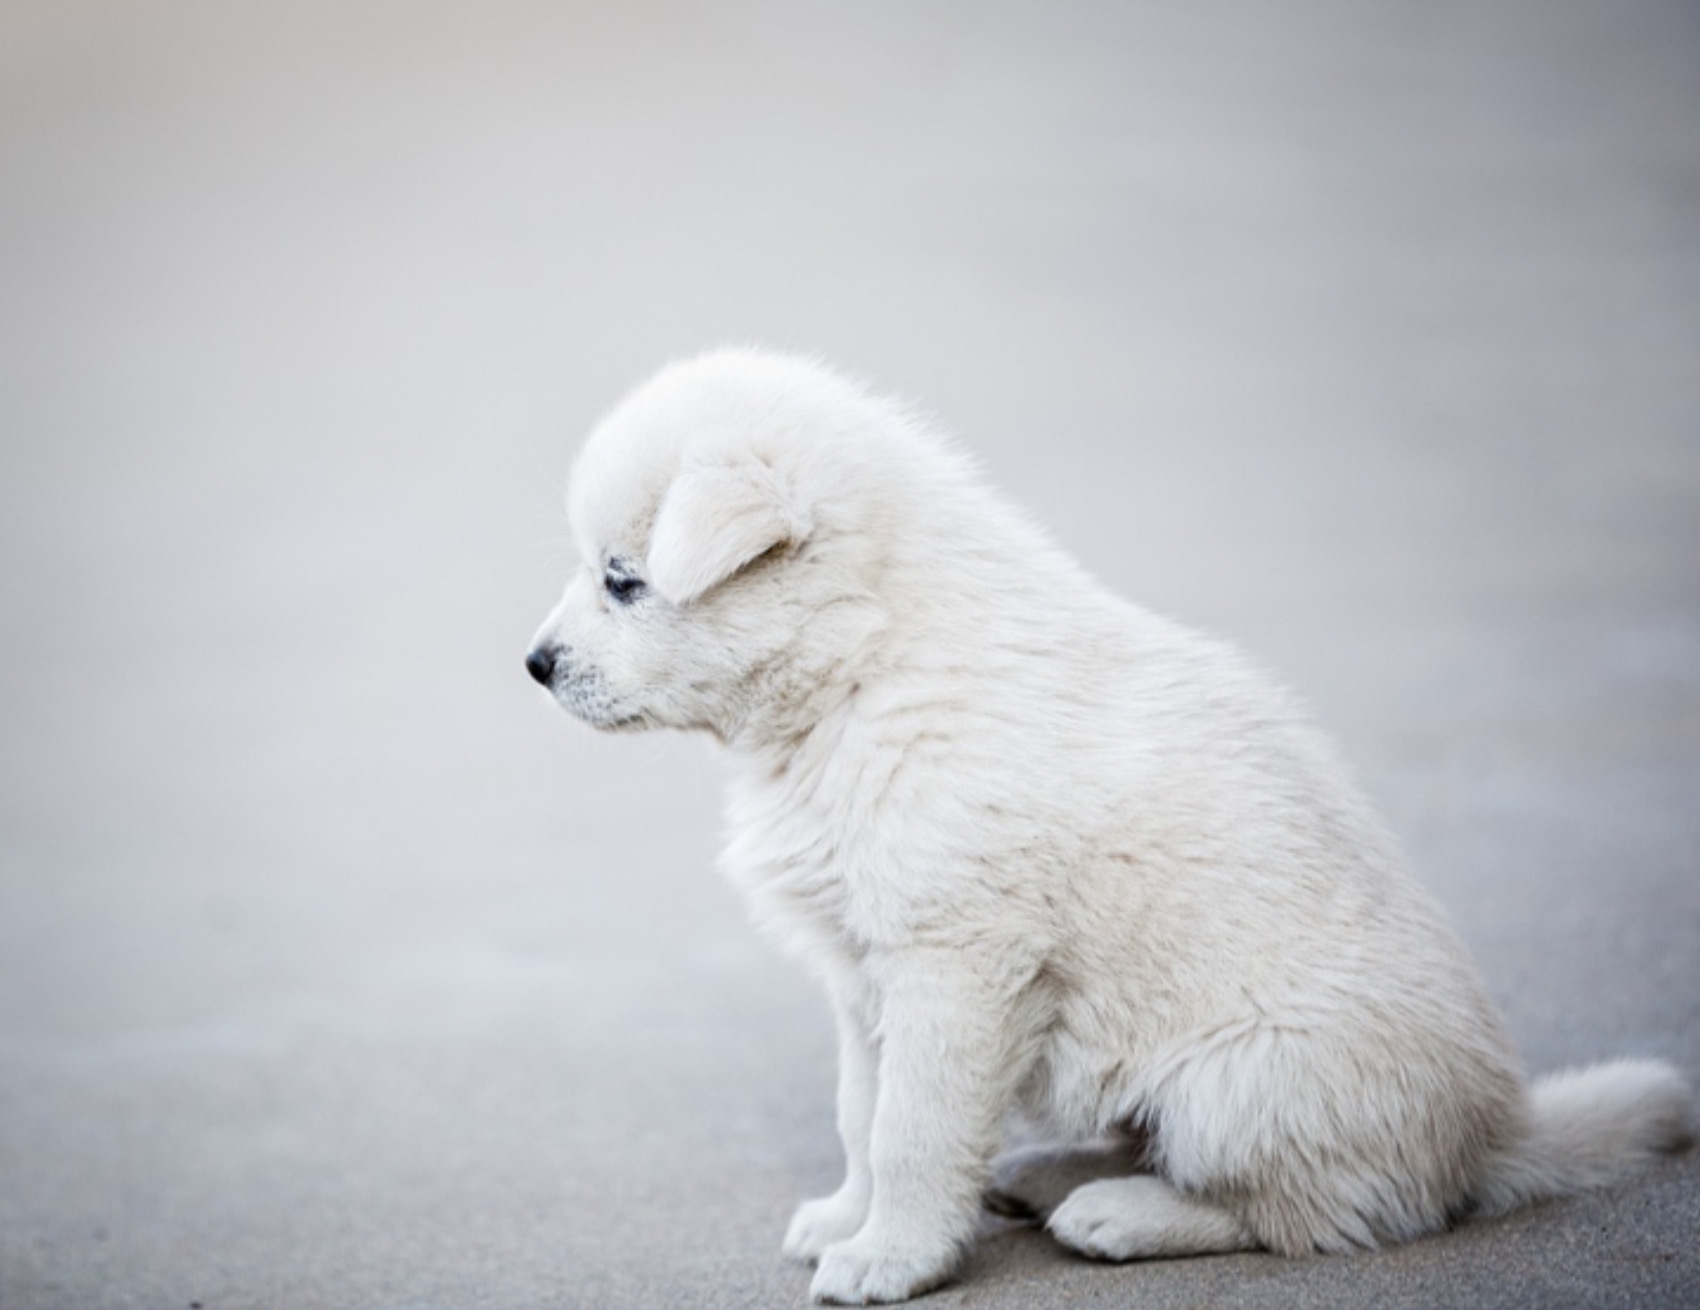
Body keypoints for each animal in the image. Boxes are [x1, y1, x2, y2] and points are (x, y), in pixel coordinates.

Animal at [523, 353, 1693, 1304]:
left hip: (1242, 1080)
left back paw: (1119, 1213)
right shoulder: (864, 972)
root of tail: (1493, 1137)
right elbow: (862, 1111)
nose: (533, 664)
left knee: (1313, 1212)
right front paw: (846, 1219)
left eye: (623, 580)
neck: (864, 668)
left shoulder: (953, 962)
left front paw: (890, 1258)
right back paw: (1046, 1173)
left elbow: (912, 1128)